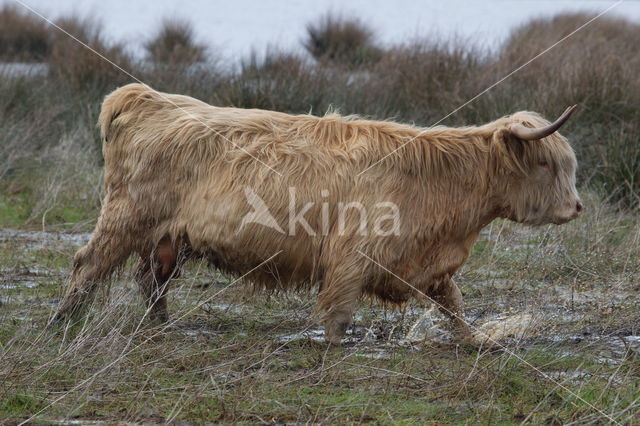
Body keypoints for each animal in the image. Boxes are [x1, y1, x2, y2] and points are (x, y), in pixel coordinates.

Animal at [53, 83, 580, 342]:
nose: (576, 207)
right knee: (88, 266)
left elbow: (454, 307)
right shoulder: (352, 256)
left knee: (152, 279)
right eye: (545, 163)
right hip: (125, 218)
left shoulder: (427, 264)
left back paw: (163, 328)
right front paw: (331, 347)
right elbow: (338, 312)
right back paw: (62, 324)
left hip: (169, 237)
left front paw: (474, 341)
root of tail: (148, 98)